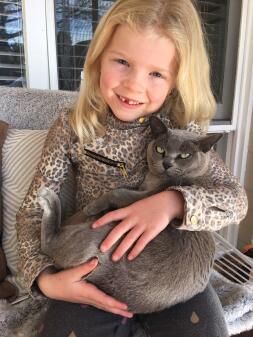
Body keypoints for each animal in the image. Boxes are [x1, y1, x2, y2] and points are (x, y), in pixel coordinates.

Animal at [37, 115, 221, 312]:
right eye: (160, 149)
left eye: (185, 155)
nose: (166, 163)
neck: (155, 180)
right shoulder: (143, 188)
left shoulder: (150, 195)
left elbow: (120, 192)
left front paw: (92, 207)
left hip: (99, 236)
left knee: (49, 245)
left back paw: (48, 197)